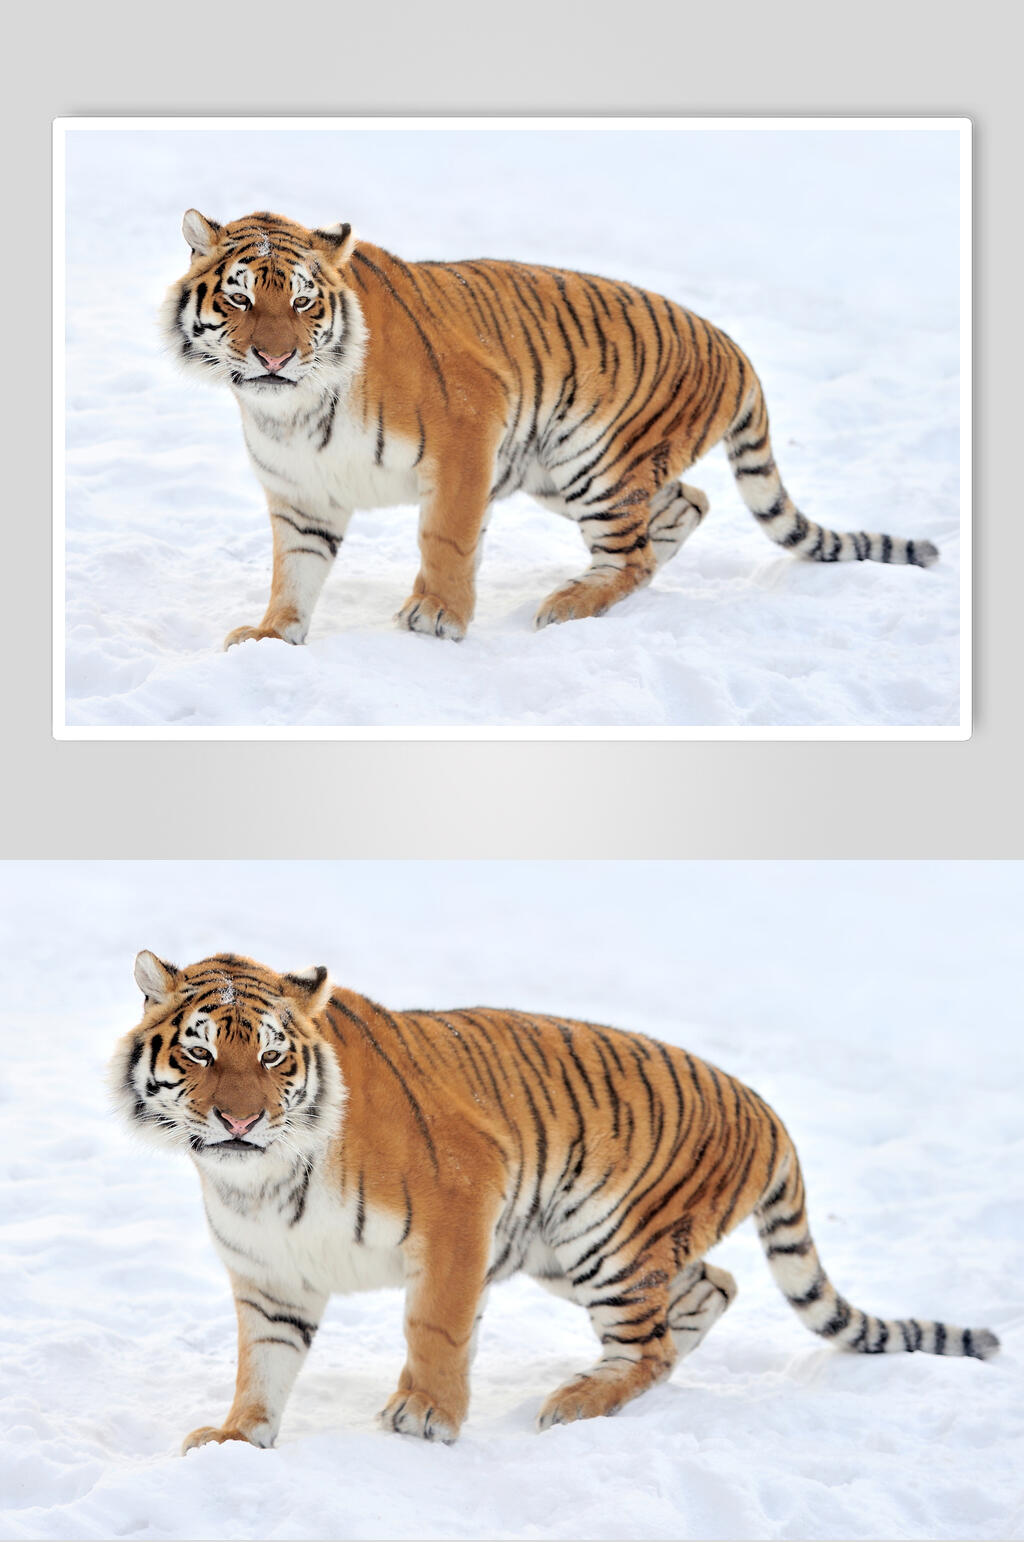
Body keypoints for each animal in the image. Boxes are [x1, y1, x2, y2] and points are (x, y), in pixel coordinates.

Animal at [110, 951, 998, 1454]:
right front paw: (236, 1441)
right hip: (570, 1252)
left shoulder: (463, 1204)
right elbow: (262, 1364)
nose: (240, 1120)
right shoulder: (272, 1277)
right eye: (199, 1054)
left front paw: (425, 1418)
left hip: (608, 1242)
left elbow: (436, 1325)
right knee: (713, 1290)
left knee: (652, 1343)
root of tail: (768, 1111)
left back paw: (578, 1401)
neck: (258, 1180)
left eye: (270, 1056)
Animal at [160, 210, 939, 649]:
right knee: (687, 506)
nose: (274, 357)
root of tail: (736, 349)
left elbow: (446, 538)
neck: (291, 409)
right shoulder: (303, 494)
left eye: (300, 302)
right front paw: (271, 637)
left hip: (596, 465)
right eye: (239, 299)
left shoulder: (469, 432)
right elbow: (294, 571)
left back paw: (572, 603)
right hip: (563, 472)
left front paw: (436, 618)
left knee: (635, 551)